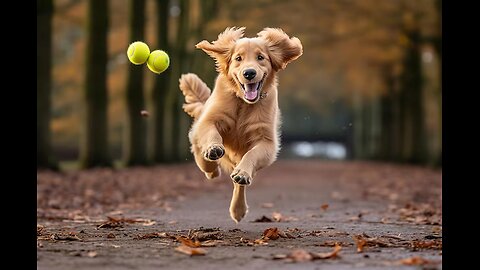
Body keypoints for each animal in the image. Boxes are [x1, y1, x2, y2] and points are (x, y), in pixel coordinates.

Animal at [178, 26, 302, 223]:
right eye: (238, 58)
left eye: (260, 57)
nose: (249, 73)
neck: (244, 103)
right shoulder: (211, 119)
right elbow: (212, 133)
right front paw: (213, 149)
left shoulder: (266, 141)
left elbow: (251, 155)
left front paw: (242, 174)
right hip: (199, 132)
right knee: (200, 153)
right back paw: (211, 168)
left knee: (238, 183)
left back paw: (238, 208)